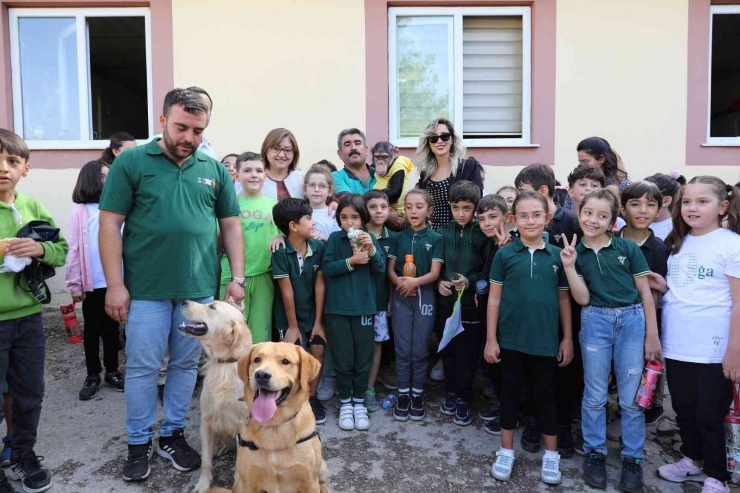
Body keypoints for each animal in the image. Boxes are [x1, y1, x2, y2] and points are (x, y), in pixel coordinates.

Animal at [178, 300, 253, 492]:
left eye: (212, 307)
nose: (183, 300)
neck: (224, 366)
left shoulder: (243, 427)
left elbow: (239, 467)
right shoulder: (206, 422)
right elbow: (205, 460)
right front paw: (203, 484)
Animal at [208, 342, 330, 492]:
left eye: (285, 361)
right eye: (257, 359)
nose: (261, 374)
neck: (274, 425)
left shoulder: (309, 482)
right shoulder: (249, 483)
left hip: (323, 470)